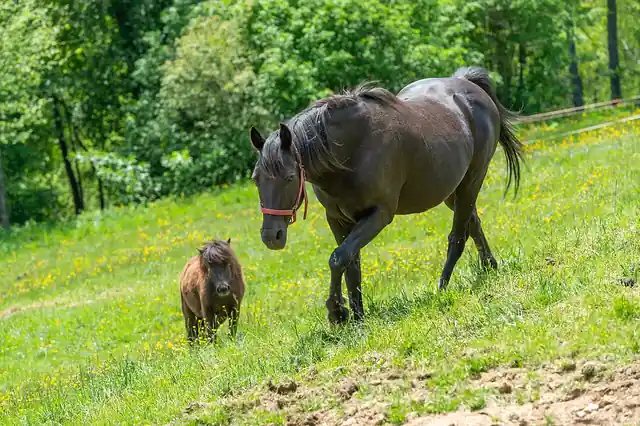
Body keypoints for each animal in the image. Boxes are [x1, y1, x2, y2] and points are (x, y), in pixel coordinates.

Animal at [249, 66, 524, 324]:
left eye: (289, 177)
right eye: (256, 178)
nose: (271, 236)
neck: (351, 152)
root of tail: (465, 83)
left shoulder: (378, 215)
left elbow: (338, 258)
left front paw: (337, 312)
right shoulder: (337, 219)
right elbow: (351, 265)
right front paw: (357, 317)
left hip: (471, 182)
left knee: (457, 237)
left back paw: (443, 287)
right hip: (451, 191)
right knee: (473, 223)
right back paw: (489, 267)